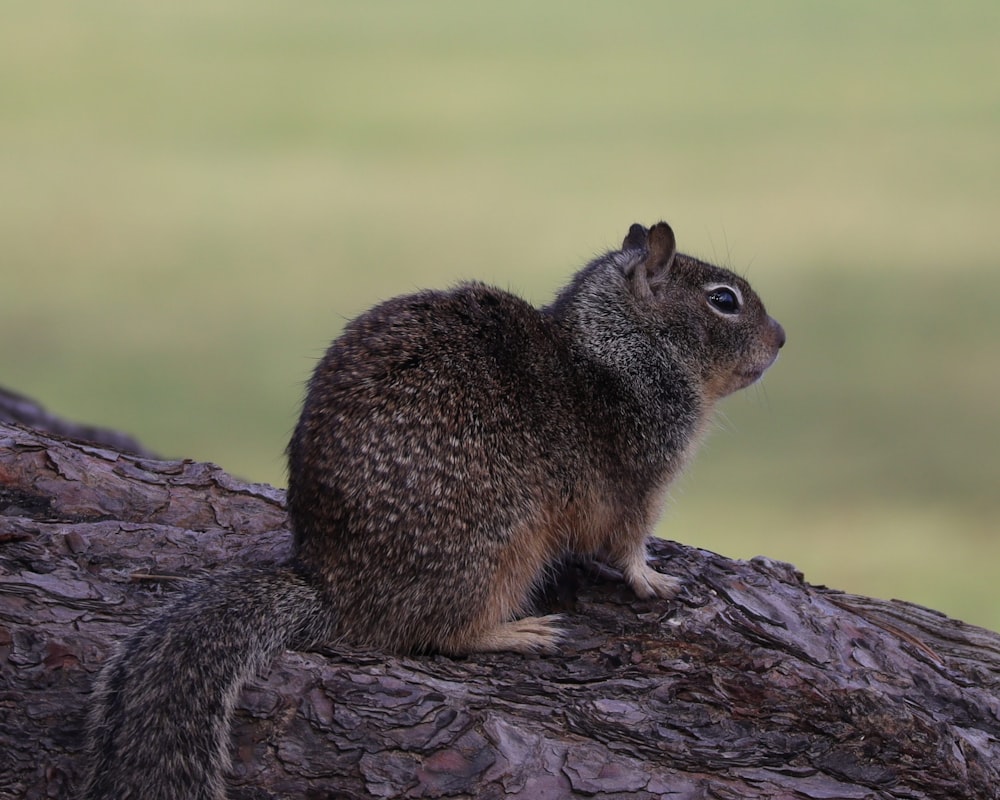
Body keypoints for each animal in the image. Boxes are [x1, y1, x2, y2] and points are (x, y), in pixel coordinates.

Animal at [82, 220, 784, 800]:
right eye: (724, 299)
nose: (782, 338)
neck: (624, 346)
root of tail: (330, 586)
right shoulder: (639, 482)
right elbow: (628, 545)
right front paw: (655, 579)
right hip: (500, 549)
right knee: (443, 634)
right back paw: (517, 632)